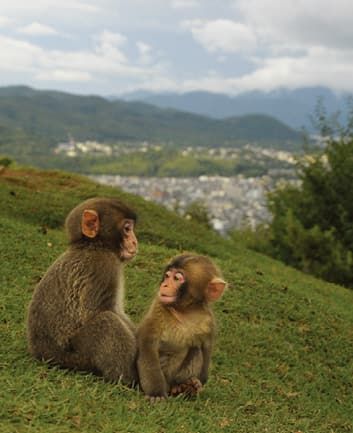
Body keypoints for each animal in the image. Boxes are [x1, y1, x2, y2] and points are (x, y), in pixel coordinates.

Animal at [26, 197, 138, 384]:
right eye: (127, 229)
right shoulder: (104, 266)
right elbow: (98, 312)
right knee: (107, 322)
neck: (93, 246)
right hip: (78, 357)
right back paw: (130, 380)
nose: (135, 242)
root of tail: (46, 355)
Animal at [136, 253, 224, 398]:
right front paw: (156, 393)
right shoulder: (158, 308)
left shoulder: (208, 320)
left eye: (177, 278)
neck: (184, 311)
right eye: (167, 276)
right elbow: (147, 345)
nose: (164, 285)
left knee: (196, 349)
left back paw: (185, 386)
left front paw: (199, 382)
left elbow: (206, 347)